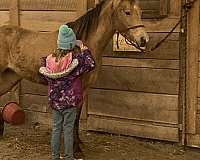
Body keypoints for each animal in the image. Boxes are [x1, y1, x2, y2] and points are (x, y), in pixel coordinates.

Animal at [0, 0, 148, 156]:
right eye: (127, 12)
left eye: (140, 12)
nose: (144, 39)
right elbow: (74, 119)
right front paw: (76, 149)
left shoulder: (84, 90)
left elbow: (76, 119)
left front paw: (78, 143)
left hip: (10, 78)